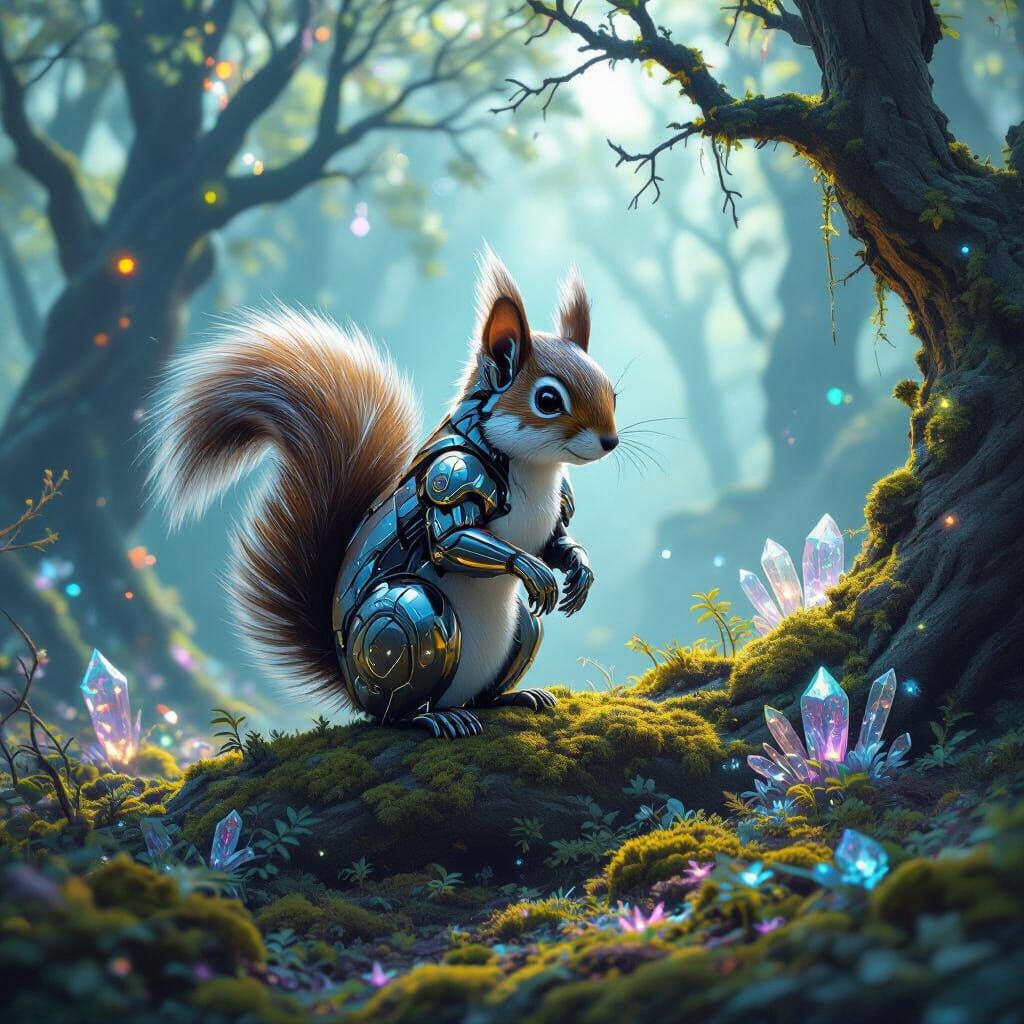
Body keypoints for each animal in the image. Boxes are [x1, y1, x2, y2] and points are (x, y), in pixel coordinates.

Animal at [149, 249, 619, 739]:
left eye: (612, 392)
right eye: (548, 400)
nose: (610, 441)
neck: (535, 467)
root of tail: (351, 686)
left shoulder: (557, 502)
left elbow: (556, 541)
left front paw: (580, 571)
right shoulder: (454, 474)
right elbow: (451, 540)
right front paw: (531, 569)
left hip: (522, 629)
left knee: (497, 674)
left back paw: (514, 696)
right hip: (410, 621)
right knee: (395, 703)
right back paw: (435, 716)